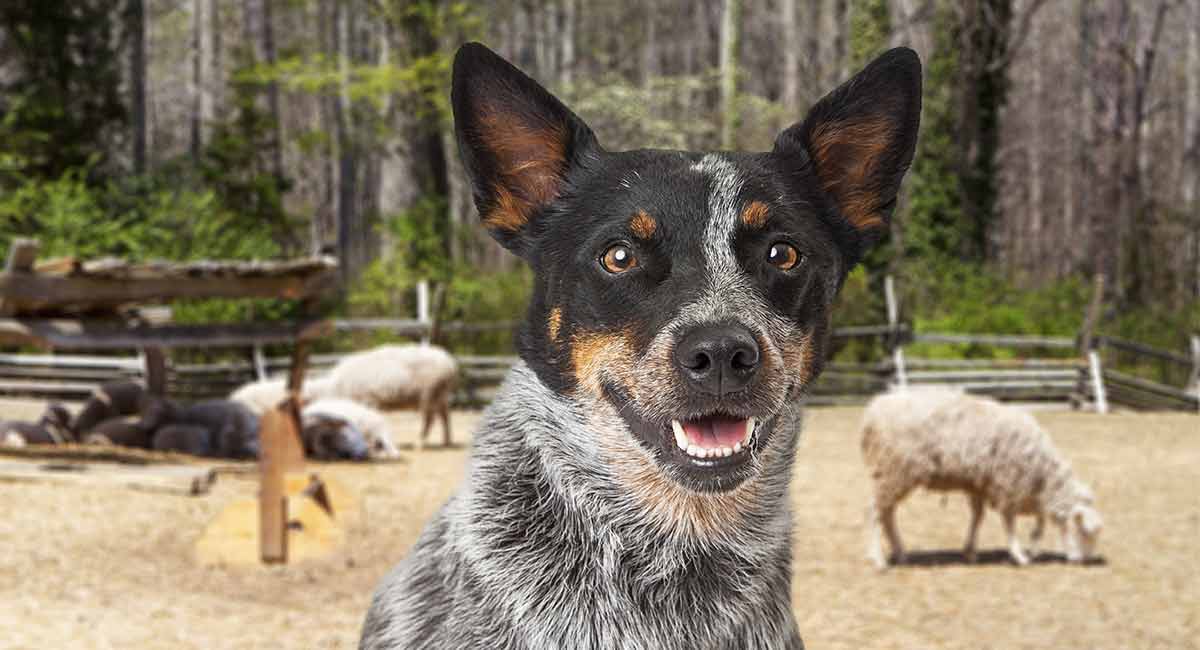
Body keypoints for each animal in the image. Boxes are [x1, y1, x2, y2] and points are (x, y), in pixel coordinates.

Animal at [864, 390, 1104, 568]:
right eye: (1085, 531)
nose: (1081, 561)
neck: (1041, 474)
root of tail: (873, 411)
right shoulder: (1007, 483)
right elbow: (1009, 521)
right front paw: (1019, 555)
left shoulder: (980, 484)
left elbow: (980, 517)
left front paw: (971, 552)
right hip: (895, 470)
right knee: (875, 512)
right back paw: (878, 559)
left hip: (893, 475)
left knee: (887, 514)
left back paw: (900, 553)